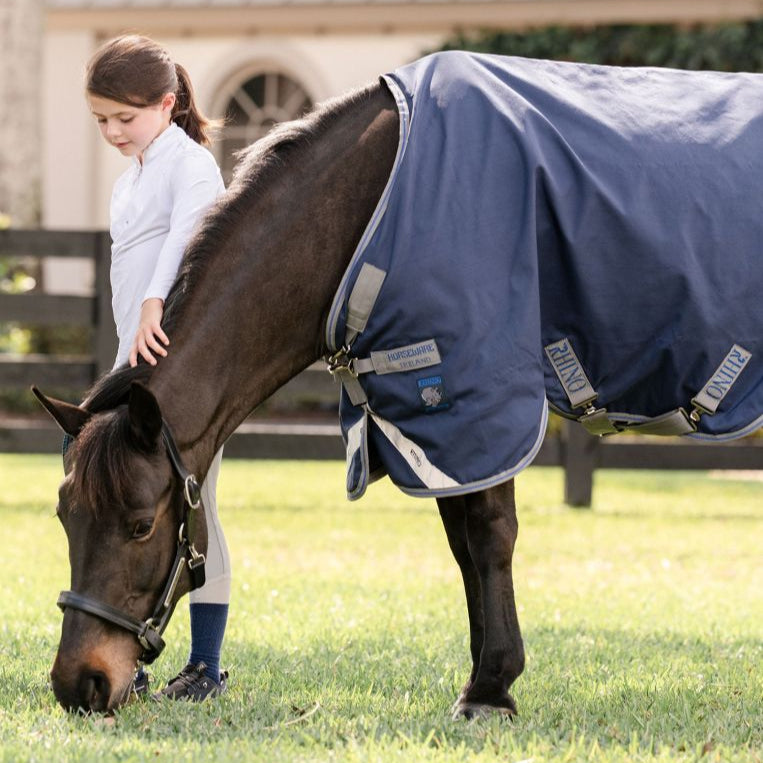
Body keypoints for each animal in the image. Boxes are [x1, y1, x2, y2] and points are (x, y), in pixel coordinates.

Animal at [35, 50, 763, 715]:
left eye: (138, 525)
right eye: (66, 516)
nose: (80, 684)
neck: (376, 202)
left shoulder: (476, 397)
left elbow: (490, 534)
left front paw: (491, 690)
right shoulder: (430, 425)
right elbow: (463, 545)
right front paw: (481, 676)